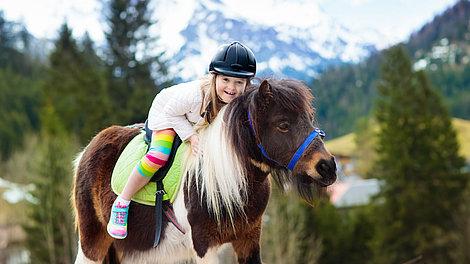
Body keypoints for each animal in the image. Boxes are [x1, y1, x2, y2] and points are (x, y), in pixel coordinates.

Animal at [71, 79, 336, 264]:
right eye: (283, 124)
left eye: (309, 118)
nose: (328, 167)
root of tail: (87, 150)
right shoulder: (204, 246)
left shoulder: (249, 240)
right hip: (92, 243)